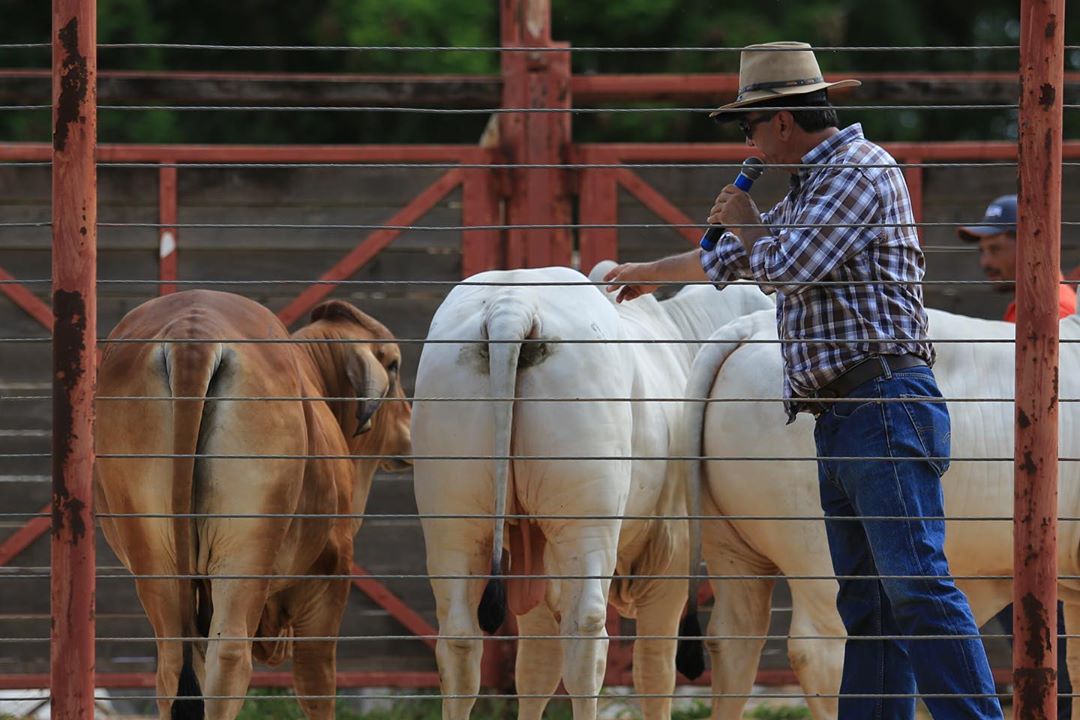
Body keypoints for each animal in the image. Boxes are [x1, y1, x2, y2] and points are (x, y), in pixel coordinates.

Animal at [92, 291, 410, 720]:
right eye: (394, 364)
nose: (408, 429)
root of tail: (193, 332)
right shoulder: (332, 572)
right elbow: (317, 684)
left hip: (155, 555)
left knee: (175, 663)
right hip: (247, 548)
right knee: (231, 659)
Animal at [408, 264, 773, 720]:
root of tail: (512, 305)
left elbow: (535, 668)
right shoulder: (670, 551)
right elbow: (655, 668)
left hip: (454, 522)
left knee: (459, 639)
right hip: (586, 522)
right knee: (586, 634)